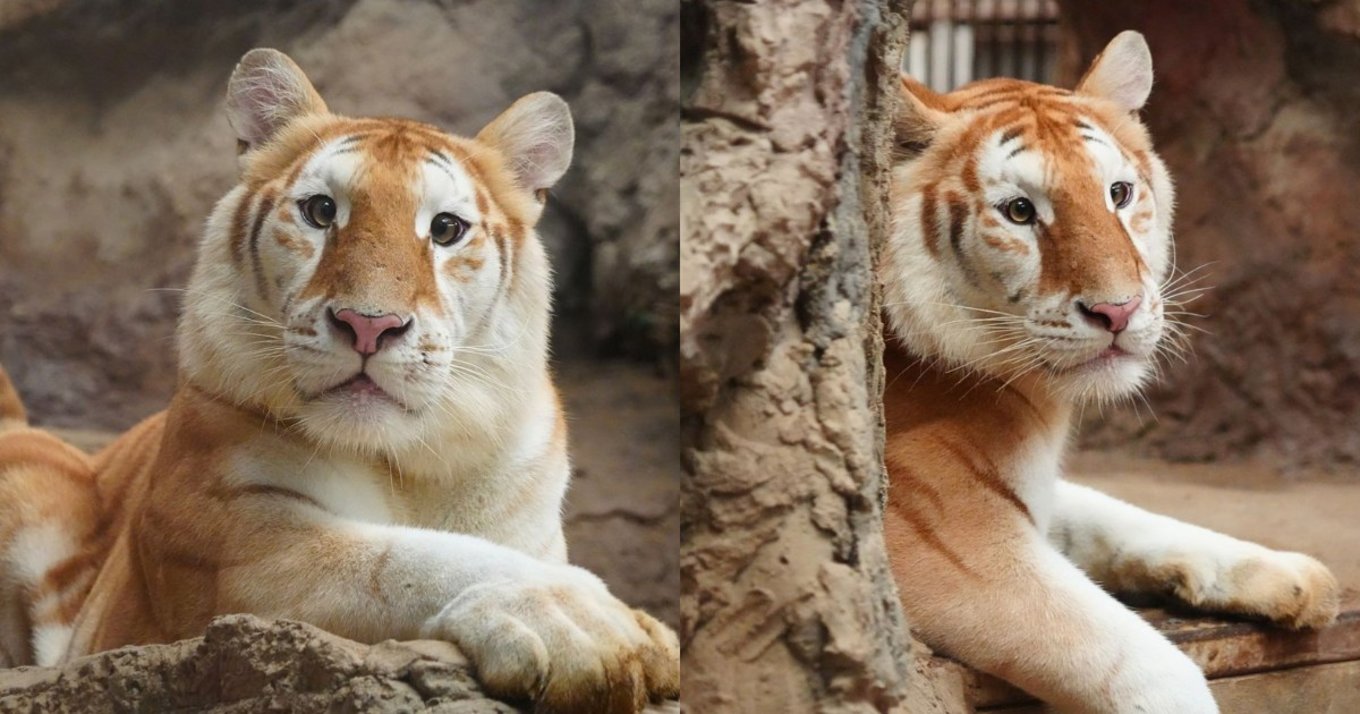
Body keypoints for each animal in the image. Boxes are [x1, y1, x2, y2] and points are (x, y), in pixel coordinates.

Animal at [0, 47, 680, 707]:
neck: (409, 463)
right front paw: (584, 625)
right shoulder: (232, 543)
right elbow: (404, 558)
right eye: (321, 211)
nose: (368, 325)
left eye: (445, 228)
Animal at [881, 30, 1338, 707]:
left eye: (1118, 194)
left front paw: (1290, 574)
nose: (1117, 311)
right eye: (1020, 211)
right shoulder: (946, 543)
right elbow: (1148, 666)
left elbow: (1120, 515)